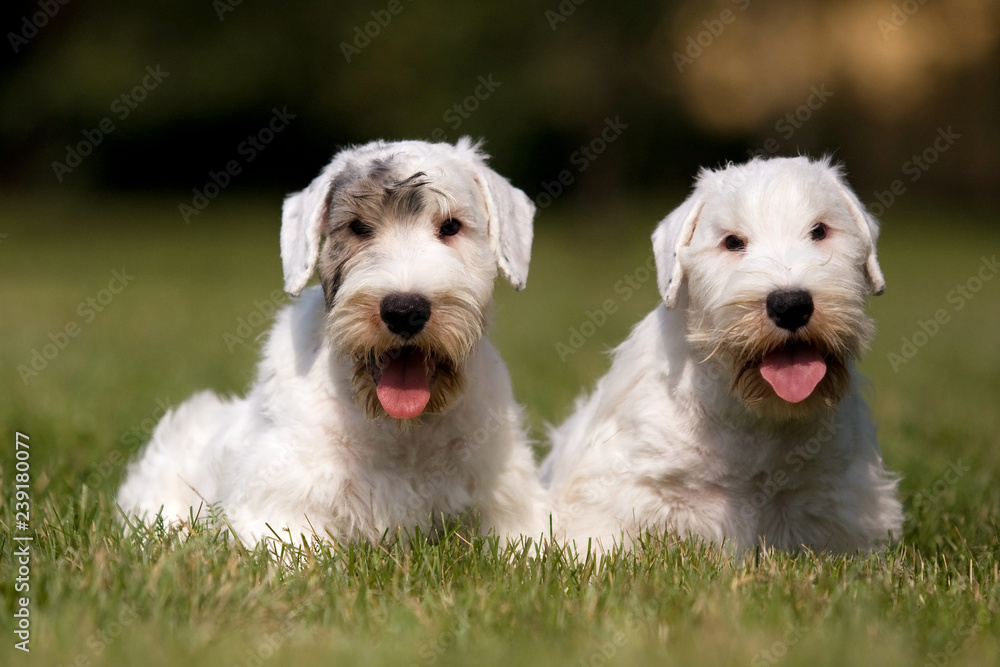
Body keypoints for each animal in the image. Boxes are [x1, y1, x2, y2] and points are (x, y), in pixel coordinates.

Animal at [123, 137, 556, 548]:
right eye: (358, 228)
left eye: (451, 227)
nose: (404, 310)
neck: (402, 429)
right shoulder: (277, 508)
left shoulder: (510, 500)